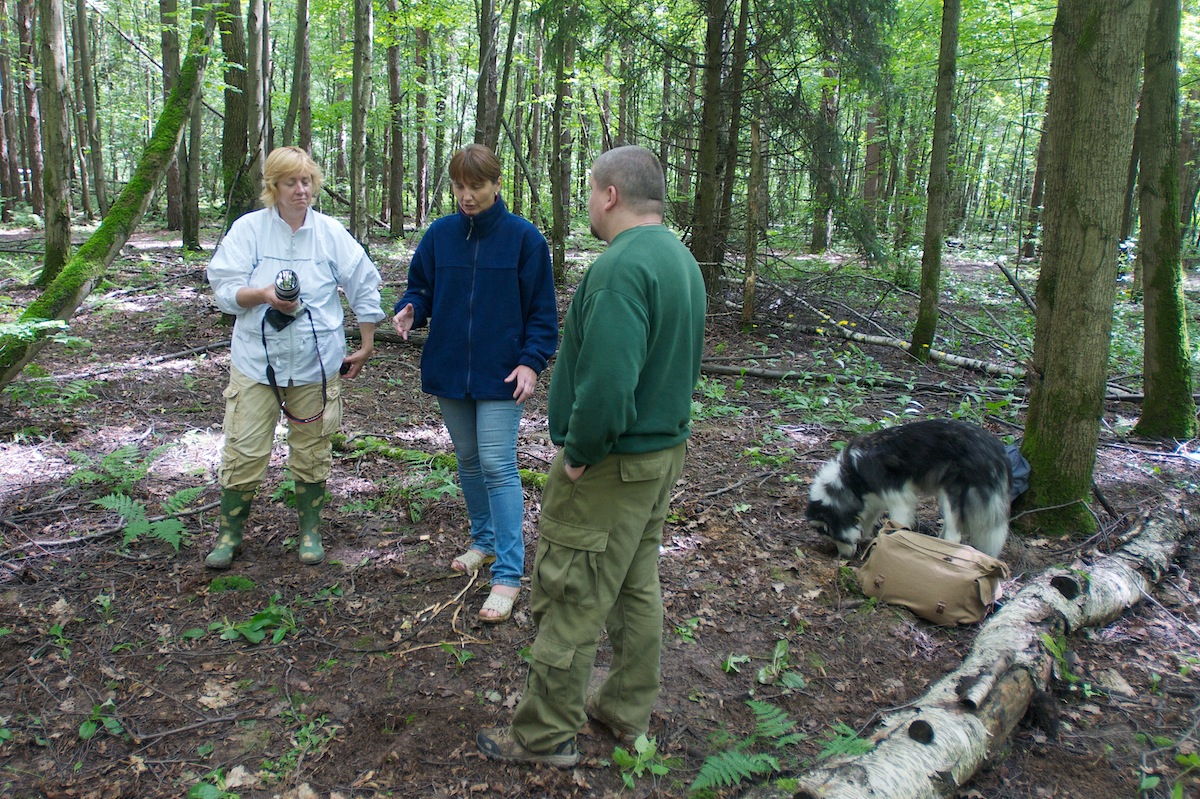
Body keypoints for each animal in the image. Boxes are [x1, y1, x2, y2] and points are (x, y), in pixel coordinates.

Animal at [805, 419, 1011, 558]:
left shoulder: (899, 499)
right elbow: (867, 520)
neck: (851, 473)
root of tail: (995, 449)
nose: (843, 556)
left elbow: (896, 525)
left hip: (951, 493)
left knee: (954, 536)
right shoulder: (875, 498)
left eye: (832, 533)